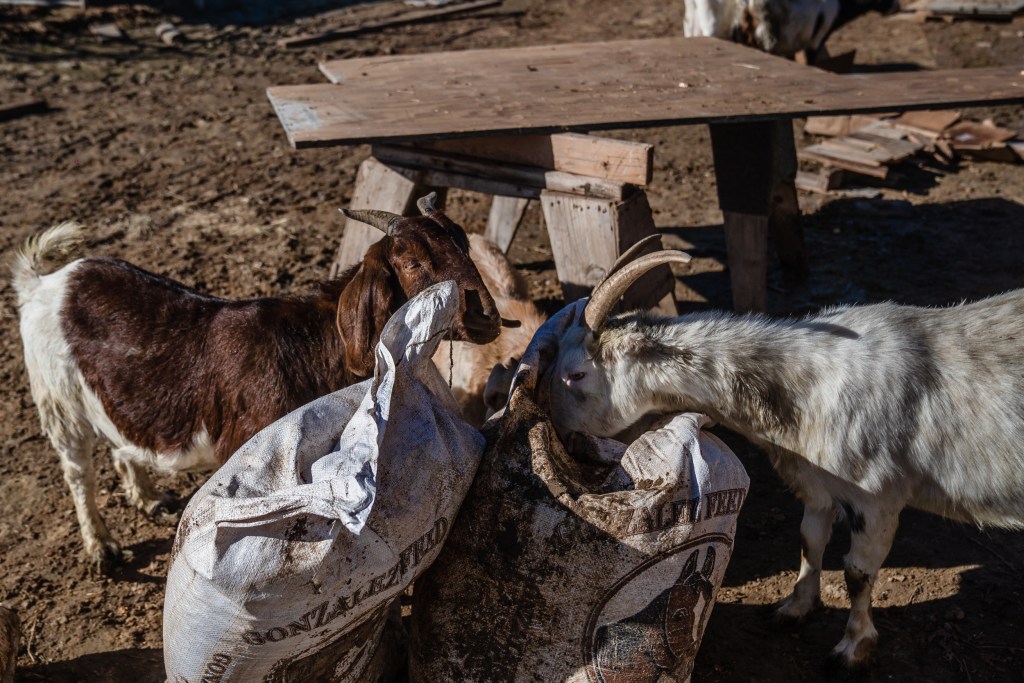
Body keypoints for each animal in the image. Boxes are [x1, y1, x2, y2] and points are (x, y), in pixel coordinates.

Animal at [12, 194, 502, 572]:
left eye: (464, 246)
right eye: (412, 262)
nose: (484, 313)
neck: (312, 346)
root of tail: (45, 283)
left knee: (119, 440)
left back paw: (147, 498)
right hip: (57, 401)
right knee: (77, 470)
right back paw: (101, 548)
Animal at [546, 250, 1024, 668]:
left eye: (575, 374)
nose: (562, 437)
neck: (808, 383)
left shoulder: (877, 497)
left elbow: (857, 573)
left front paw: (852, 648)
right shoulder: (817, 484)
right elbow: (809, 541)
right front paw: (793, 608)